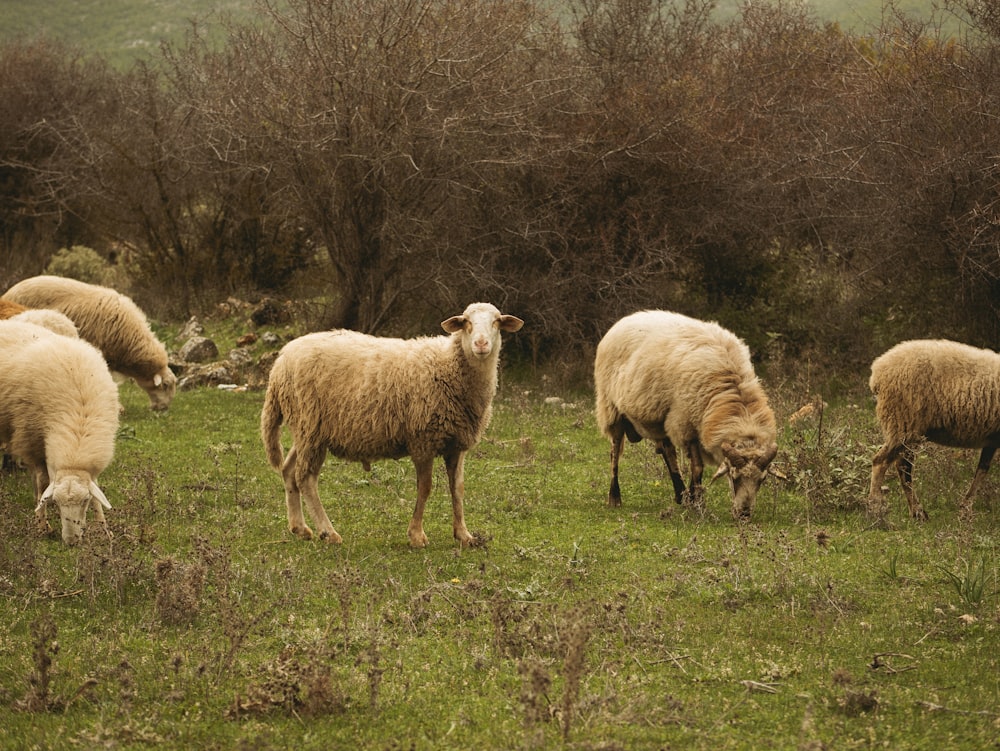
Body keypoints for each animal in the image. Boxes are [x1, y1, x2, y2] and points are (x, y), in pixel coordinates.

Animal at [0, 320, 120, 544]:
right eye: (55, 502)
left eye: (85, 501)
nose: (71, 542)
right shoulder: (33, 442)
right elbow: (42, 484)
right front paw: (42, 526)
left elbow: (96, 489)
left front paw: (103, 530)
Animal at [258, 302, 524, 548]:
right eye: (466, 322)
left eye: (496, 322)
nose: (481, 344)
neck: (449, 366)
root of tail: (281, 361)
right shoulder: (423, 440)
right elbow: (425, 488)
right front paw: (416, 535)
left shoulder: (456, 444)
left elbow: (457, 488)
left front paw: (464, 535)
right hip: (309, 424)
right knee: (305, 477)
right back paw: (328, 532)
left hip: (307, 429)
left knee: (289, 470)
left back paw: (299, 528)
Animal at [592, 310, 780, 516]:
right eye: (734, 476)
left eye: (762, 479)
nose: (744, 513)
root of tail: (624, 320)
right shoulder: (686, 426)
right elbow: (697, 467)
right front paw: (697, 502)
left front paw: (693, 498)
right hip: (612, 408)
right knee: (615, 452)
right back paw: (614, 496)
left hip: (661, 416)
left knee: (667, 451)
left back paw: (680, 494)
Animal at [868, 338, 1000, 520]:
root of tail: (878, 371)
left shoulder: (992, 439)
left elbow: (981, 470)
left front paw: (965, 509)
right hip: (904, 424)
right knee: (887, 464)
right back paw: (881, 508)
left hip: (904, 428)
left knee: (899, 466)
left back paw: (915, 512)